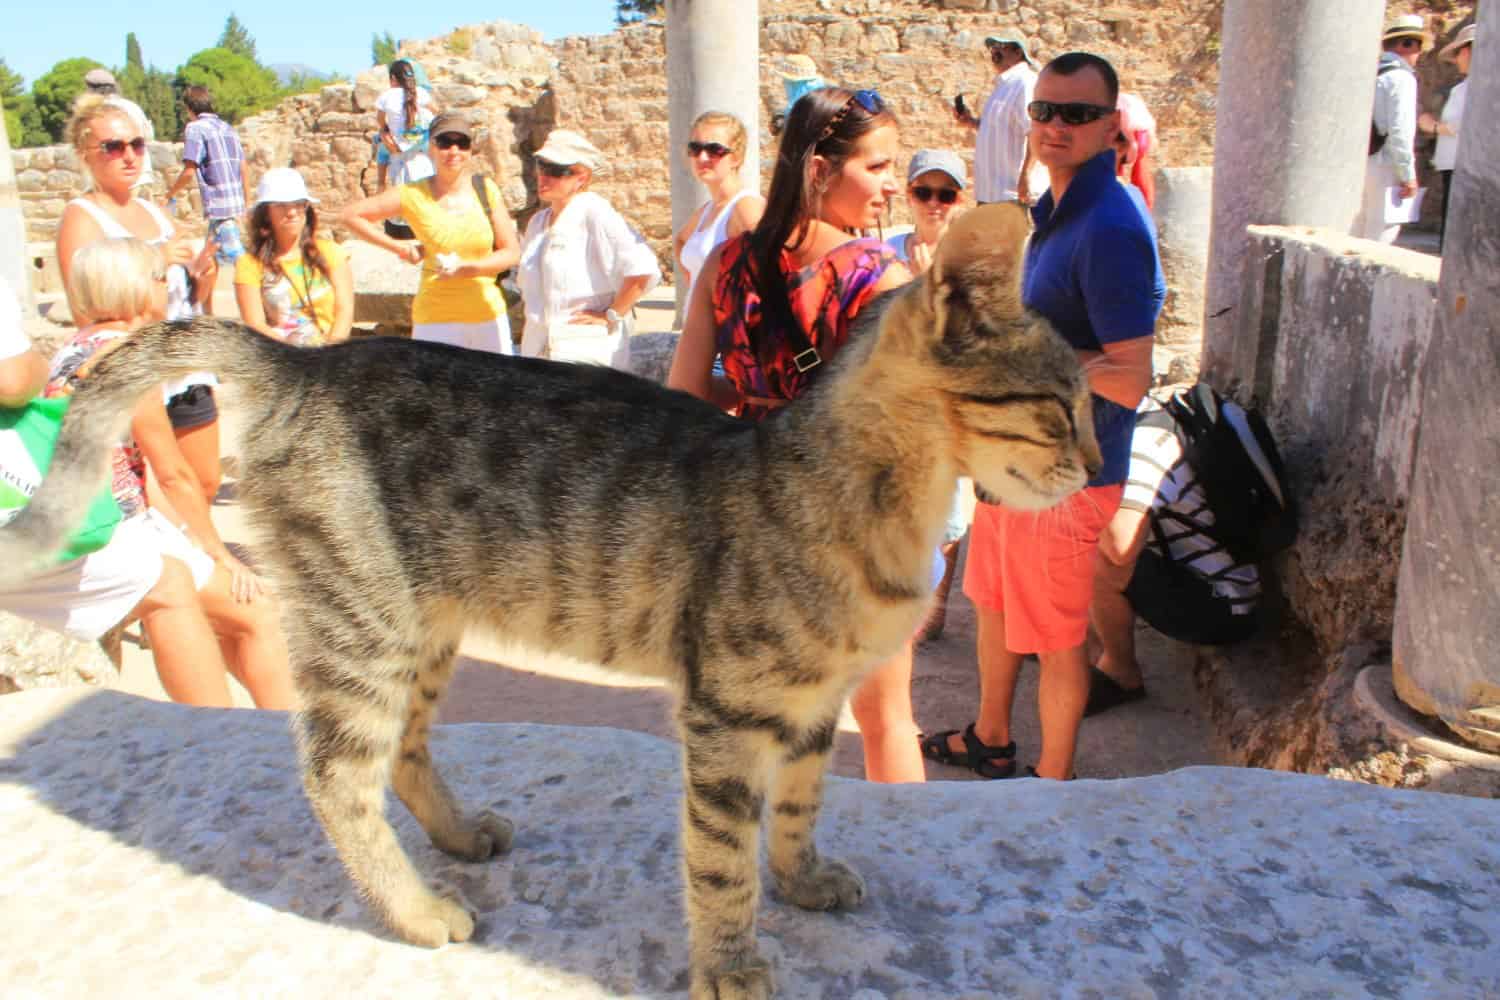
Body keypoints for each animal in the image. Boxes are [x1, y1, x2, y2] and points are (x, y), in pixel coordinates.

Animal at [5, 205, 1098, 1000]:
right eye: (1061, 406)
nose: (1096, 466)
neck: (882, 504)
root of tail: (304, 358)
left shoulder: (813, 706)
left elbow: (799, 807)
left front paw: (806, 877)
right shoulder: (727, 713)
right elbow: (721, 861)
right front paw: (733, 963)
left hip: (424, 630)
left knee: (406, 750)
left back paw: (458, 836)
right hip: (364, 624)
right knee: (335, 774)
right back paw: (417, 910)